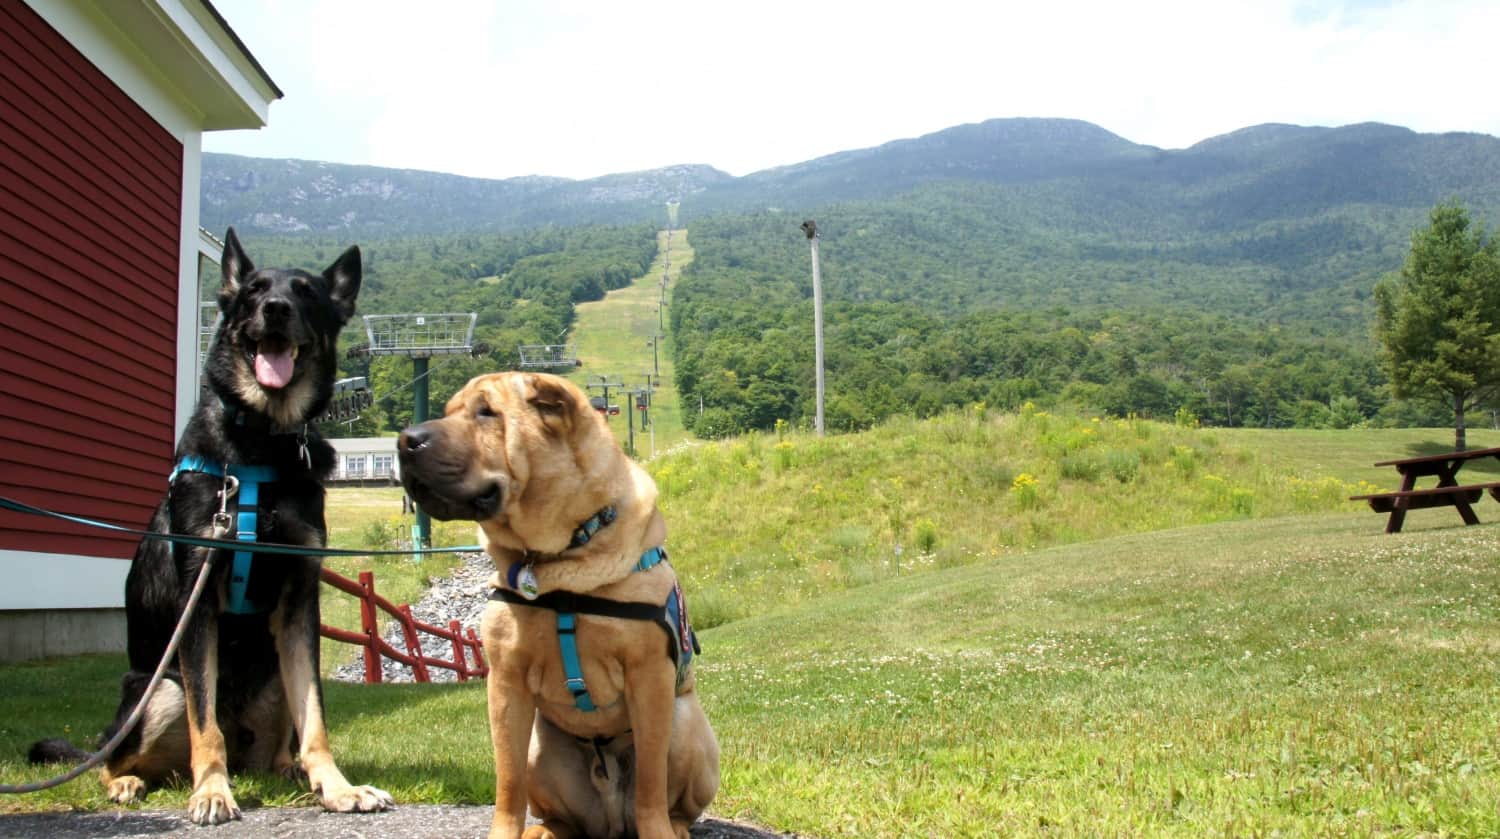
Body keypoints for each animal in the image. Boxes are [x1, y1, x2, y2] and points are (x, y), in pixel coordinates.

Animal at [31, 229, 393, 828]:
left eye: (305, 292)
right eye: (252, 291)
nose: (275, 309)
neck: (262, 442)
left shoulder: (300, 603)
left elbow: (315, 717)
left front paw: (338, 787)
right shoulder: (197, 603)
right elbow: (207, 726)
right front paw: (213, 793)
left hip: (270, 678)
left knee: (276, 744)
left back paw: (290, 772)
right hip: (159, 688)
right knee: (113, 755)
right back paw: (134, 781)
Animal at [393, 373, 720, 839]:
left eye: (486, 412)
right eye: (448, 411)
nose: (405, 440)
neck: (561, 558)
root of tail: (611, 820)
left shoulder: (650, 676)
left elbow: (651, 783)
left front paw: (658, 828)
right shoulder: (506, 682)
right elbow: (507, 782)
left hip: (686, 723)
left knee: (665, 797)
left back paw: (674, 827)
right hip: (541, 750)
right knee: (559, 814)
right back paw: (546, 830)